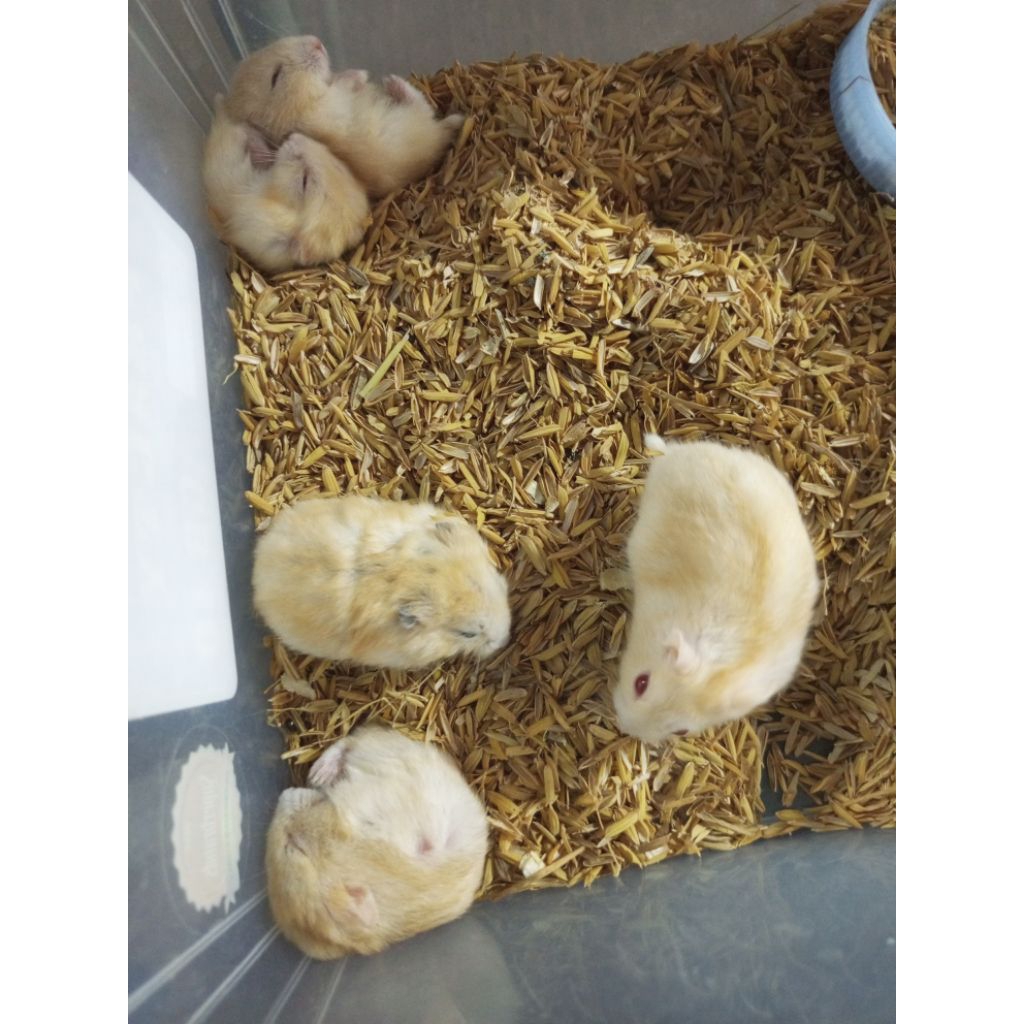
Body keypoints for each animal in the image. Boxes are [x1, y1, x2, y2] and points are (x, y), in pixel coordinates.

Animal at [223, 36, 464, 198]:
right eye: (275, 76)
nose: (318, 42)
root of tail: (440, 136)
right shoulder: (324, 105)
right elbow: (343, 83)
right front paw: (363, 74)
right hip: (413, 121)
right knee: (422, 106)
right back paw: (394, 82)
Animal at [266, 724, 489, 958]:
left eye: (292, 847)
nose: (285, 793)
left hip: (382, 747)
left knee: (352, 741)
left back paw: (320, 774)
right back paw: (320, 775)